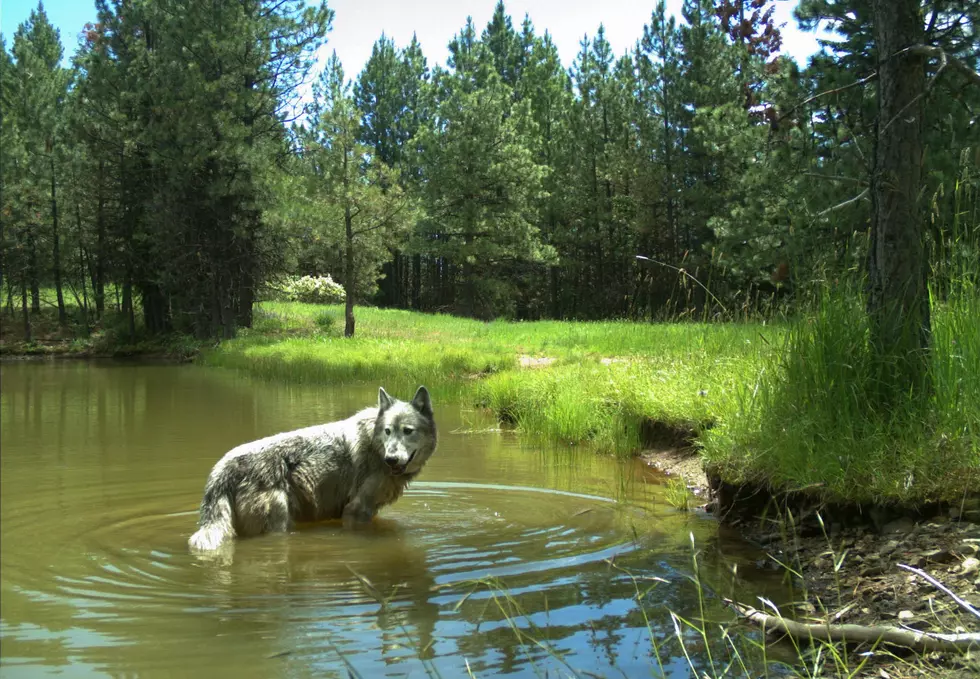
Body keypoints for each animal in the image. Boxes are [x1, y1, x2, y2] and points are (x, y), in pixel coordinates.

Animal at [187, 386, 436, 556]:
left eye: (407, 431)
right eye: (387, 431)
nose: (391, 459)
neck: (376, 447)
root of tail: (222, 468)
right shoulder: (356, 510)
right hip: (279, 525)